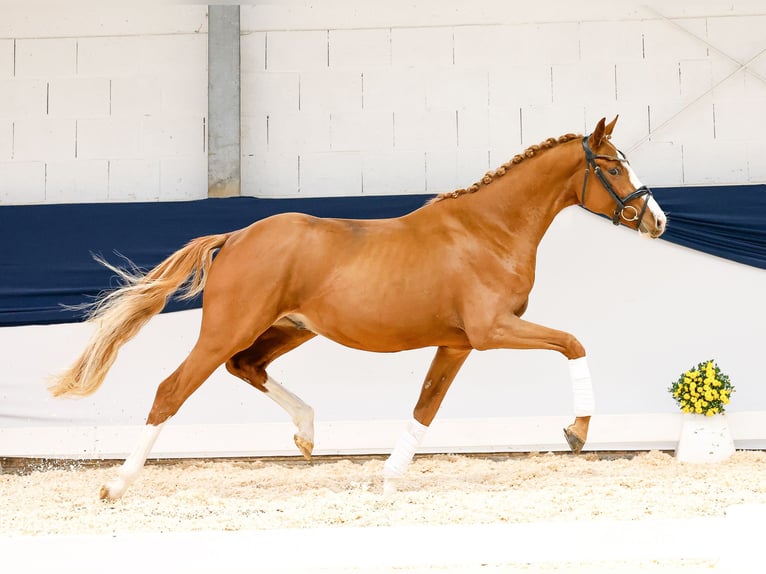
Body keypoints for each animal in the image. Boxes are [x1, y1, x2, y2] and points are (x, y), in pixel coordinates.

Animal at [52, 117, 664, 500]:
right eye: (613, 168)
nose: (657, 221)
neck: (488, 230)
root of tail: (236, 236)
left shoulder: (458, 343)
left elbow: (426, 407)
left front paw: (389, 480)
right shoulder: (492, 330)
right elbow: (573, 342)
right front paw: (577, 432)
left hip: (291, 329)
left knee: (247, 366)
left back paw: (307, 434)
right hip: (230, 327)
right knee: (171, 390)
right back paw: (115, 486)